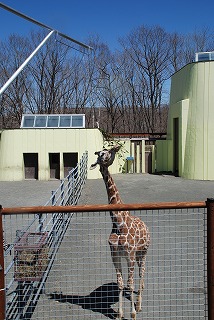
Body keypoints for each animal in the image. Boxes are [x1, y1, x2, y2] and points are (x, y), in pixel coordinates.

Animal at [90, 146, 150, 320]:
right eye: (100, 153)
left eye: (108, 151)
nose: (101, 158)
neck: (118, 221)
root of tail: (146, 226)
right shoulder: (115, 254)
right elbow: (121, 284)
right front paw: (119, 314)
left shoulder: (129, 254)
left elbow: (129, 284)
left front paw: (133, 313)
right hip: (136, 255)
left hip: (143, 252)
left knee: (142, 273)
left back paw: (139, 305)